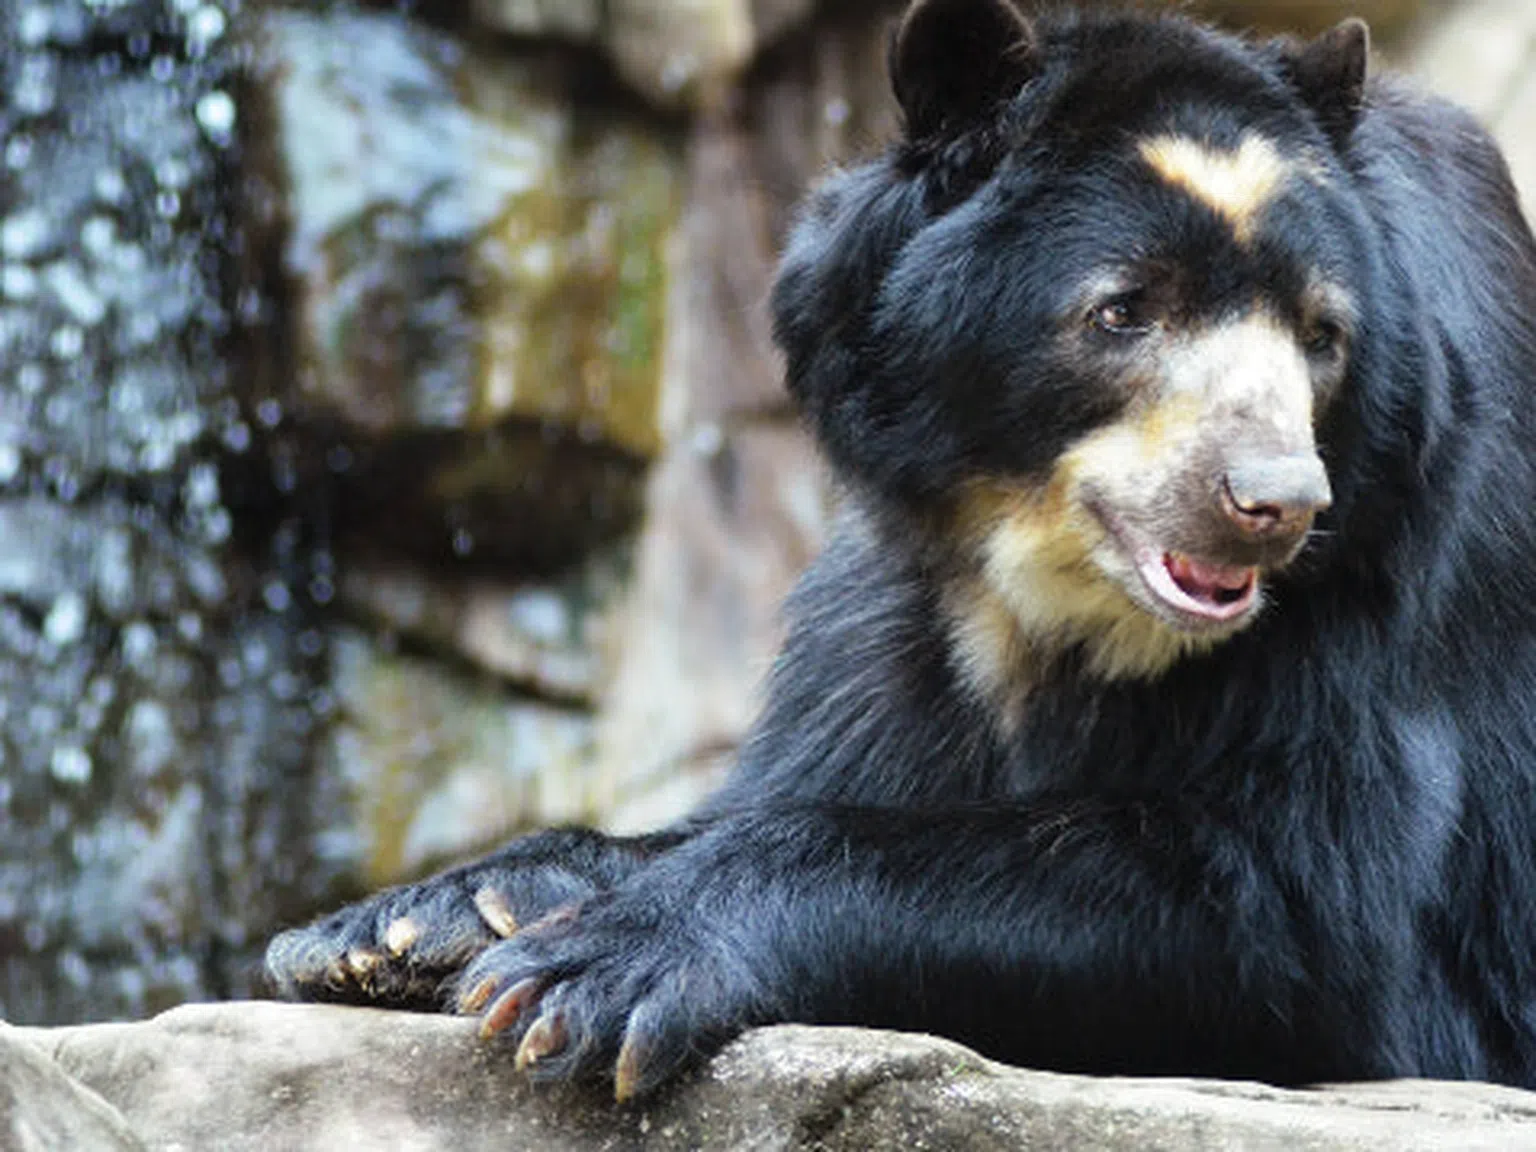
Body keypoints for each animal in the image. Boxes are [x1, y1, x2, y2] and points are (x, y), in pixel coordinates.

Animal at [264, 0, 1536, 1105]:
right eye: (1123, 310)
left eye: (1323, 335)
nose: (1273, 500)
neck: (1049, 590)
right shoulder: (890, 609)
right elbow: (804, 768)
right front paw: (405, 922)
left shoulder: (1387, 575)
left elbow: (1288, 902)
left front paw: (587, 973)